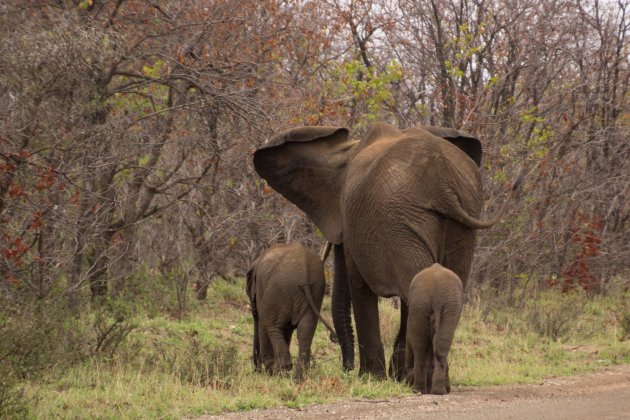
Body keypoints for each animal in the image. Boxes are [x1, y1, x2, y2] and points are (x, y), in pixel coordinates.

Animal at [246, 241, 338, 382]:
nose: (256, 371)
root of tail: (304, 272)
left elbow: (263, 322)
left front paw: (270, 373)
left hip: (279, 289)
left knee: (271, 325)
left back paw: (278, 371)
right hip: (315, 292)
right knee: (306, 330)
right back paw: (298, 380)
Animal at [253, 121, 498, 378]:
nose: (346, 368)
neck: (347, 151)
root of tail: (442, 183)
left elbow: (359, 285)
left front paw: (372, 376)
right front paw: (391, 376)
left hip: (400, 216)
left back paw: (417, 379)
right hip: (457, 218)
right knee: (441, 286)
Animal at [404, 264, 464, 396]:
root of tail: (437, 298)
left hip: (424, 304)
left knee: (425, 347)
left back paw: (429, 391)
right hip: (427, 304)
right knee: (432, 347)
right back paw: (431, 391)